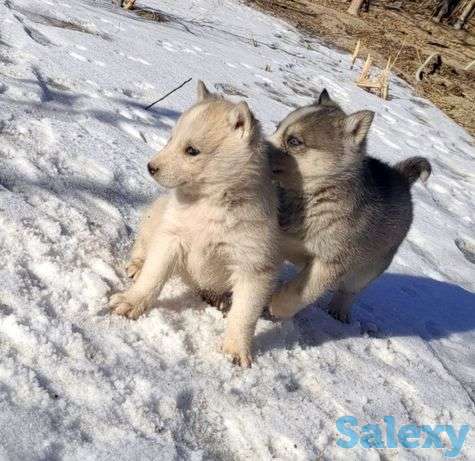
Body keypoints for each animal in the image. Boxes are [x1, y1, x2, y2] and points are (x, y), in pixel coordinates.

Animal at [109, 81, 280, 364]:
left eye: (192, 150)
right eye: (170, 139)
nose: (150, 167)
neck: (210, 204)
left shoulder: (253, 266)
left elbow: (244, 314)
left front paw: (236, 350)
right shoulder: (171, 238)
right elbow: (153, 275)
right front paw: (132, 302)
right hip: (155, 217)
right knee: (142, 247)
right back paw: (137, 265)